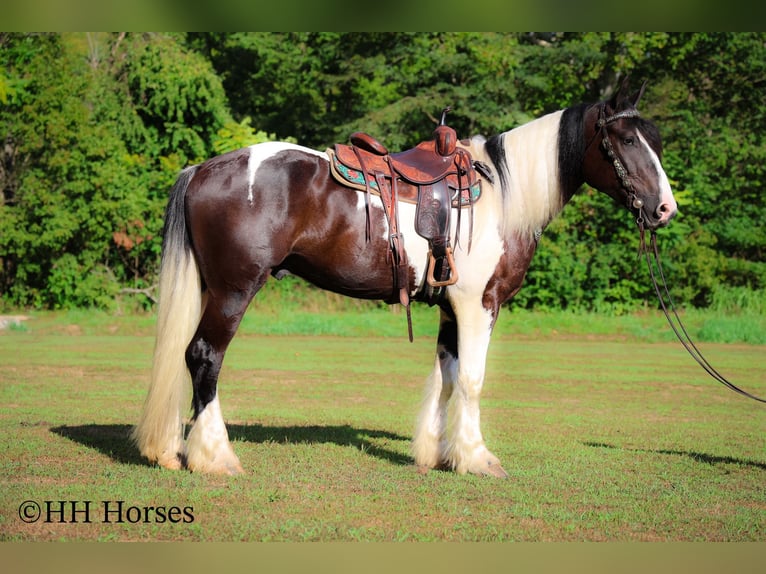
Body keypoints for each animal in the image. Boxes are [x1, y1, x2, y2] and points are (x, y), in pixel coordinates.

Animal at [132, 79, 678, 477]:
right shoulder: (479, 304)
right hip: (234, 291)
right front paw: (477, 459)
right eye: (627, 140)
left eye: (654, 140)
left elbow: (449, 375)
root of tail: (204, 169)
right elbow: (473, 379)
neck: (499, 197)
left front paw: (438, 454)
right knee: (205, 357)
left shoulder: (450, 308)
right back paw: (215, 457)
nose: (665, 209)